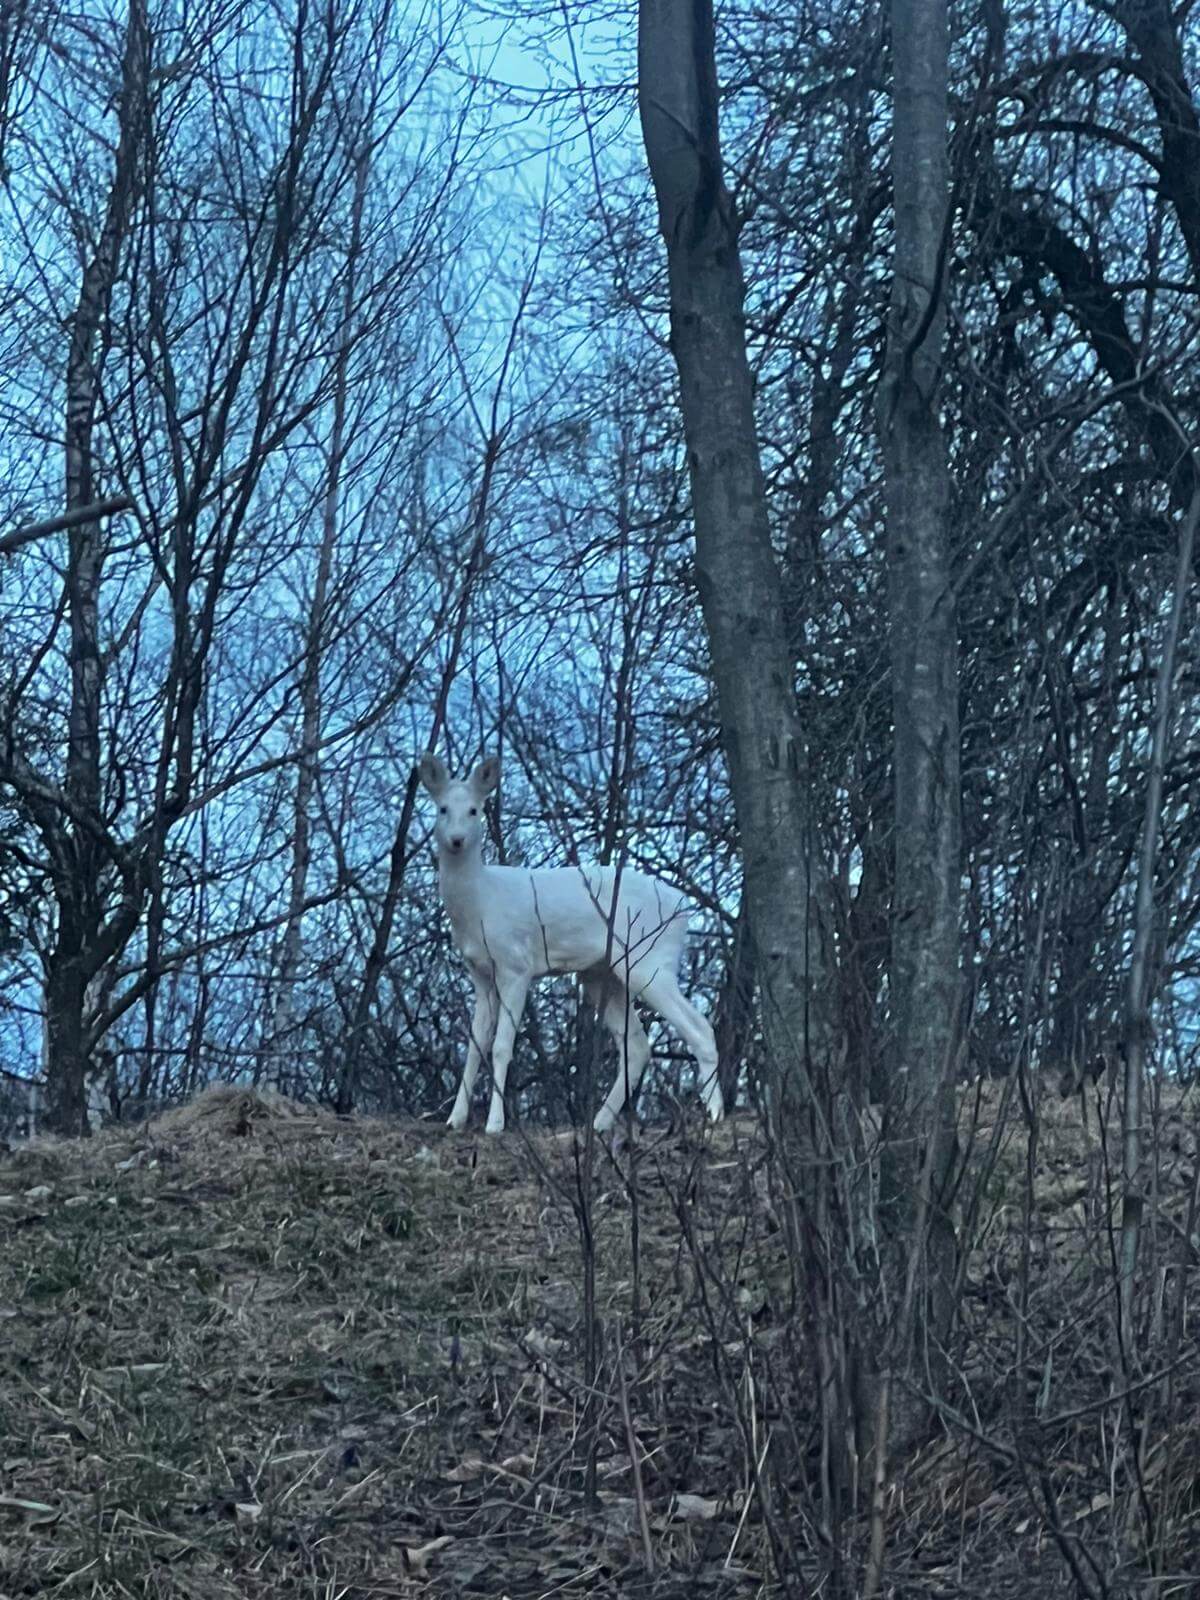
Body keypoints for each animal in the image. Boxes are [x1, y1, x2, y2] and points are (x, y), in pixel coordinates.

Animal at [419, 752, 729, 1139]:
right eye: (443, 808)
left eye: (475, 810)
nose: (457, 839)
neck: (480, 903)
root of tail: (684, 909)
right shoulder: (479, 973)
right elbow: (474, 1046)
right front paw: (455, 1118)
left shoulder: (516, 965)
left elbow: (502, 1047)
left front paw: (495, 1124)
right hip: (603, 975)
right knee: (637, 1045)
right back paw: (599, 1122)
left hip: (651, 961)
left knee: (699, 1028)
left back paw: (715, 1115)